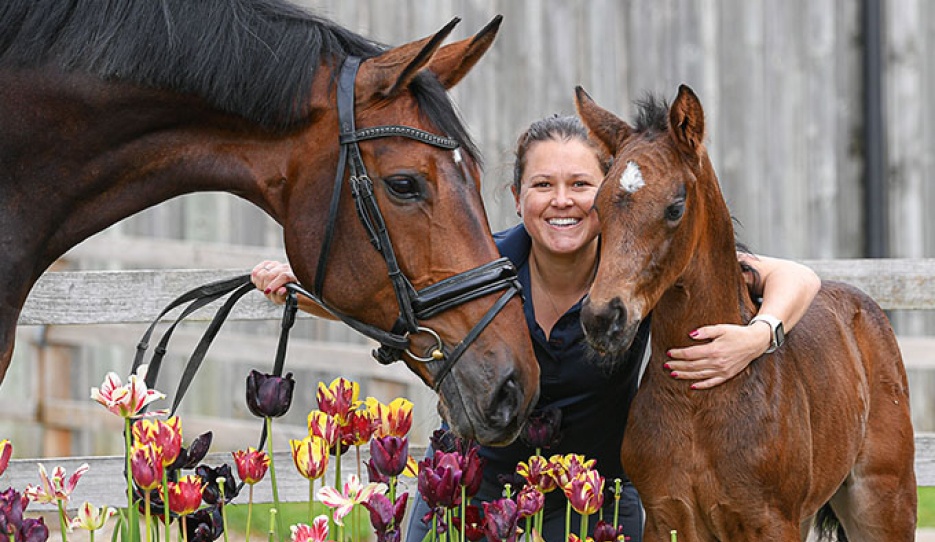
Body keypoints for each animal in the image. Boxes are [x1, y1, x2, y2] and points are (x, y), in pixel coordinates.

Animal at [575, 85, 917, 540]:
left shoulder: (768, 521)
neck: (698, 399)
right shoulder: (667, 516)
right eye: (597, 205)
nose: (602, 317)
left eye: (675, 207)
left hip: (882, 502)